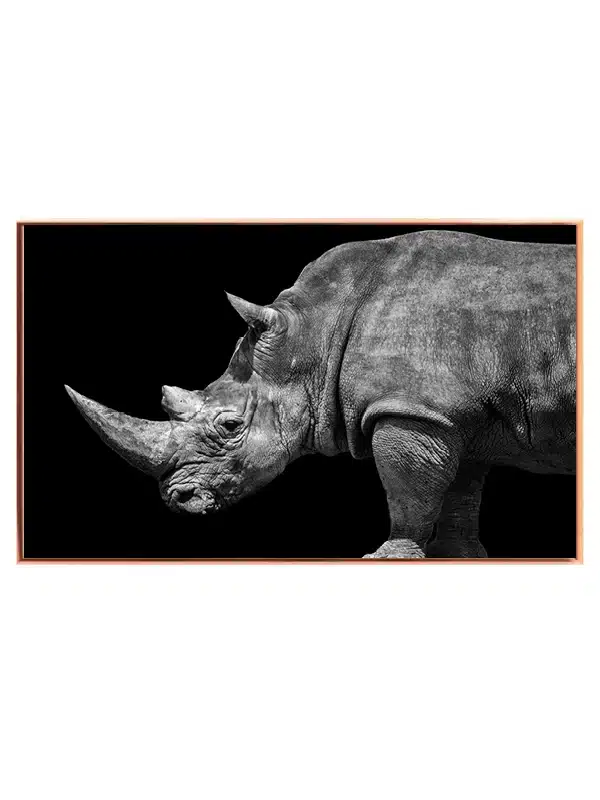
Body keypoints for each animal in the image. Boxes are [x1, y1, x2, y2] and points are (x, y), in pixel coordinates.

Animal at [65, 229, 576, 558]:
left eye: (230, 425)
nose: (179, 499)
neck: (314, 333)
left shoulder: (409, 408)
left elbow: (408, 487)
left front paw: (390, 556)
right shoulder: (452, 412)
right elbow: (460, 490)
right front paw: (459, 557)